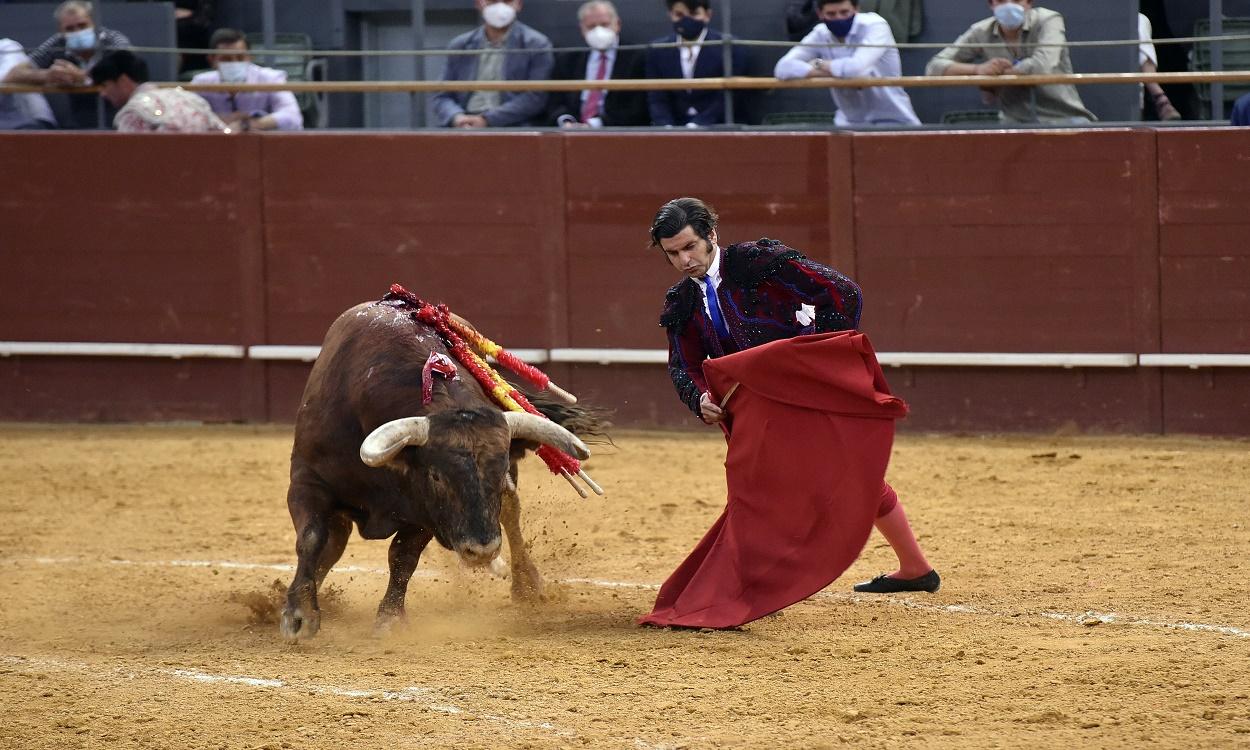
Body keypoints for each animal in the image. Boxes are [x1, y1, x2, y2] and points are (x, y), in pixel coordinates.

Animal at [280, 301, 600, 640]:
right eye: (436, 476)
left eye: (499, 473)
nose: (481, 551)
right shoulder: (307, 481)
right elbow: (312, 538)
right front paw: (299, 614)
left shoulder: (425, 513)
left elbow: (402, 557)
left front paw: (390, 619)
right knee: (333, 543)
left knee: (511, 515)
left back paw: (527, 585)